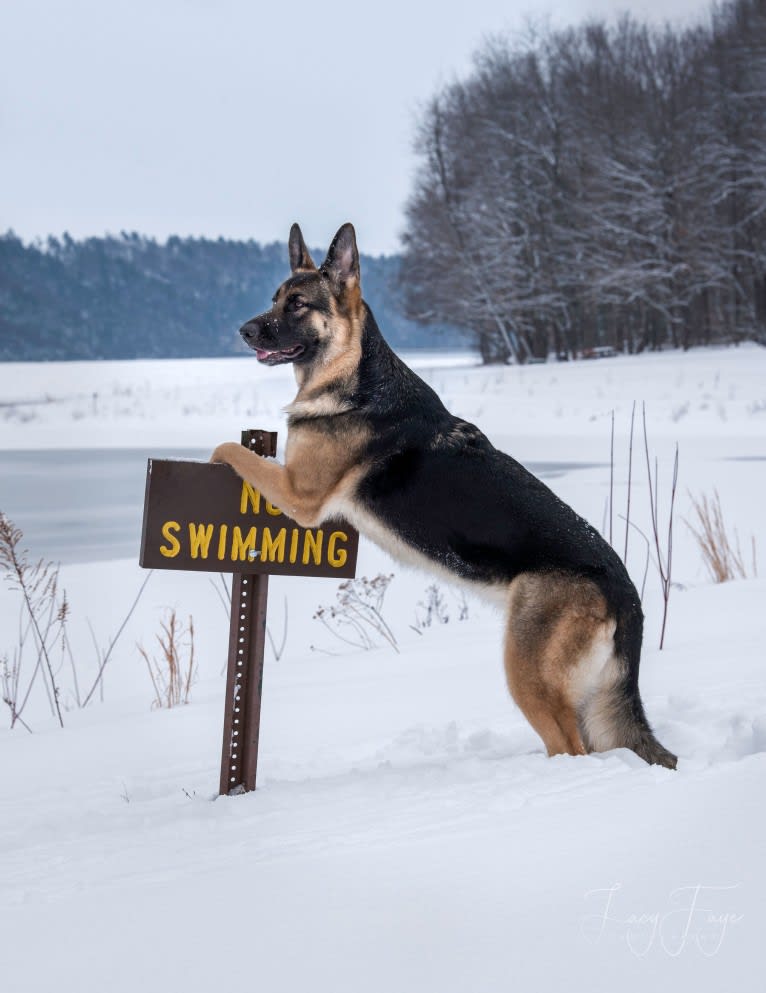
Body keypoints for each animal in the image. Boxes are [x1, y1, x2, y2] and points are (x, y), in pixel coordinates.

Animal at [212, 223, 680, 768]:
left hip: (529, 676)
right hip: (584, 697)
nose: (243, 331)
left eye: (298, 305)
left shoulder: (299, 495)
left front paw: (216, 454)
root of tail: (626, 593)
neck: (352, 374)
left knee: (570, 748)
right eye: (275, 300)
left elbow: (233, 450)